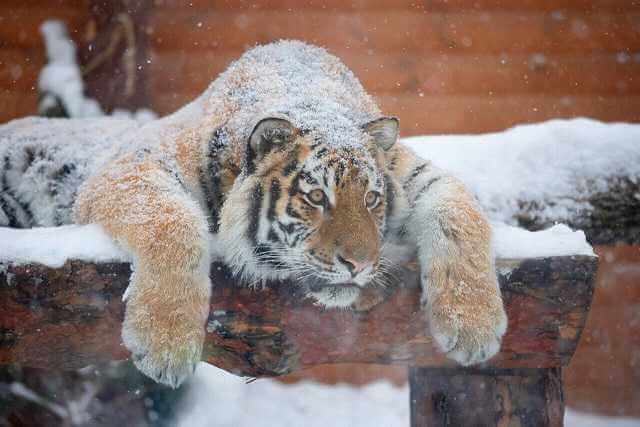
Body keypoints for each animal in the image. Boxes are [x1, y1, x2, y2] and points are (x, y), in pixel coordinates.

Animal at [2, 40, 508, 388]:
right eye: (316, 197)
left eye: (371, 199)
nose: (359, 265)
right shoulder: (132, 168)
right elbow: (172, 222)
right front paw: (165, 346)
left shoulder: (414, 171)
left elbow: (462, 212)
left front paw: (474, 329)